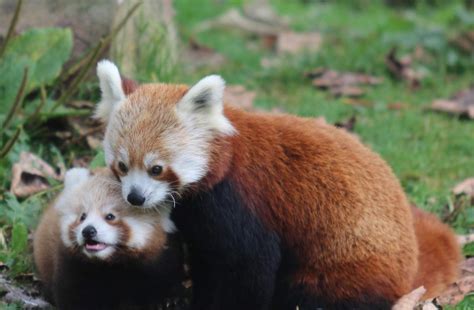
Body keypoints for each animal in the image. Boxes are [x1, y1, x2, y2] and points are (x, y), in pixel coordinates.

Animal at [32, 168, 184, 308]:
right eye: (83, 216)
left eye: (110, 216)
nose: (88, 231)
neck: (111, 265)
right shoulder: (71, 266)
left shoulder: (159, 260)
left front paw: (166, 300)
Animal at [94, 59, 462, 308]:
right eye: (122, 166)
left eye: (156, 169)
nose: (135, 197)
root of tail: (408, 266)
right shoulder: (200, 224)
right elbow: (208, 262)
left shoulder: (240, 203)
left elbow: (249, 268)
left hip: (343, 269)